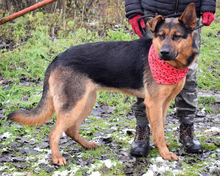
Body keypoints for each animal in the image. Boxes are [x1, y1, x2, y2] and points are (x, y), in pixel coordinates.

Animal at [7, 3, 199, 165]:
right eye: (160, 36)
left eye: (177, 37)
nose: (163, 53)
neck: (172, 66)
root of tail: (57, 58)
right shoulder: (153, 104)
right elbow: (158, 132)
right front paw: (165, 154)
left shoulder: (162, 104)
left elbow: (160, 129)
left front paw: (161, 148)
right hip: (75, 104)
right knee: (54, 133)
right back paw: (57, 158)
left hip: (87, 101)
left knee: (71, 130)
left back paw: (86, 145)